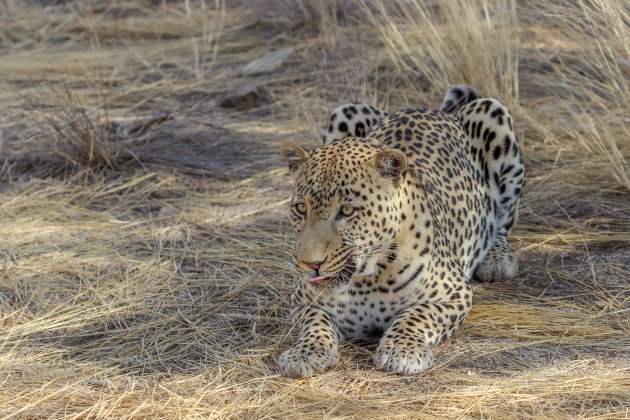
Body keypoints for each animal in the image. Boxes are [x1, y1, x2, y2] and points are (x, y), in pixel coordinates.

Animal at [282, 84, 528, 378]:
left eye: (347, 210)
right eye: (301, 208)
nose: (310, 264)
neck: (366, 280)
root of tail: (432, 109)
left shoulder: (455, 293)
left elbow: (416, 316)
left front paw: (402, 351)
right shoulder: (301, 301)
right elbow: (314, 321)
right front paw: (305, 353)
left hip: (493, 115)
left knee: (503, 221)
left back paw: (497, 260)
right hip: (346, 110)